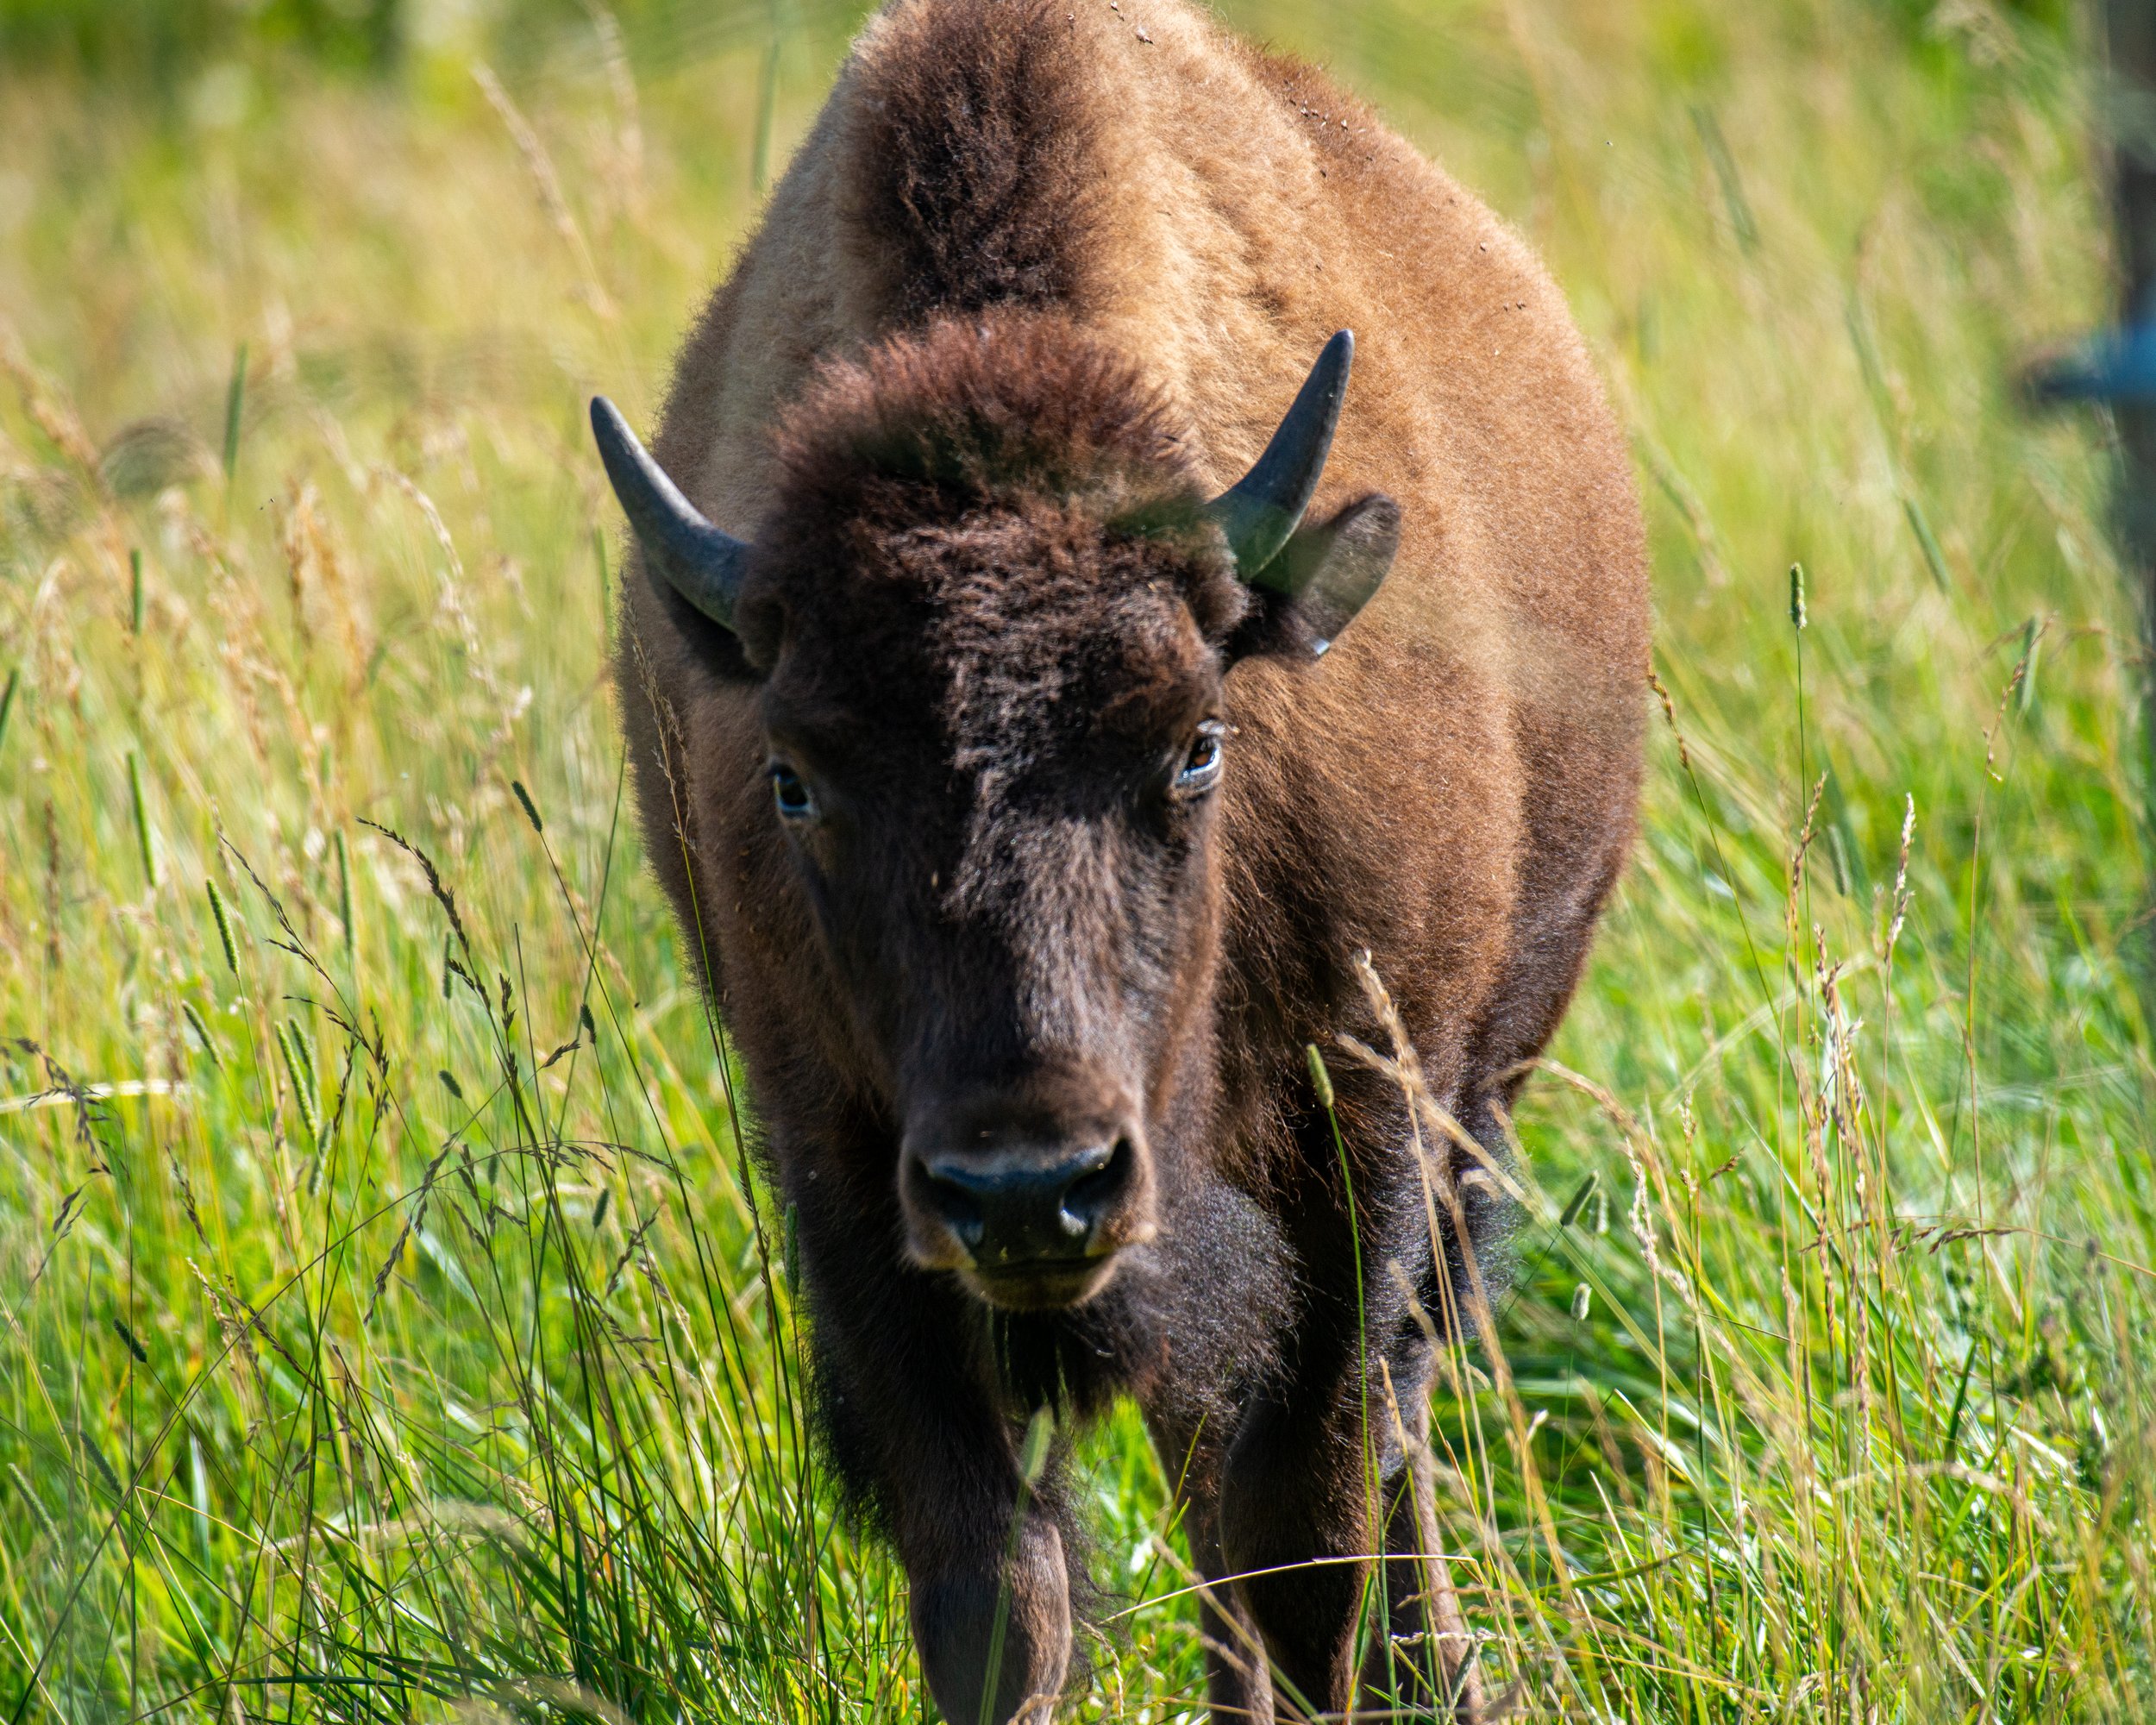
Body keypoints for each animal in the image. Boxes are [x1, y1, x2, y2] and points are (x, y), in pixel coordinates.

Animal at [592, 0, 1647, 1718]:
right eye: (793, 780)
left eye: (1198, 743)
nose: (1032, 1187)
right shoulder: (856, 1195)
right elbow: (999, 1597)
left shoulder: (1356, 1149)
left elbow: (1310, 1542)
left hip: (1472, 1098)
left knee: (1372, 1441)